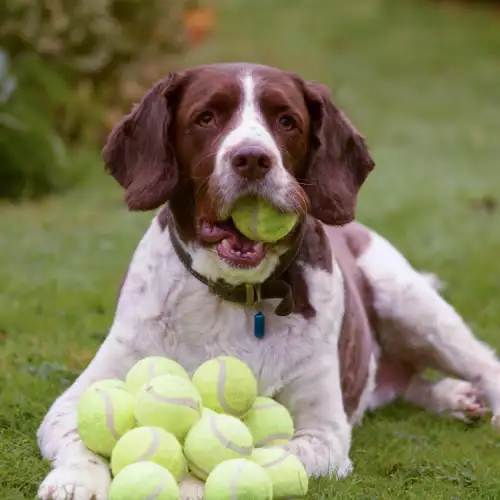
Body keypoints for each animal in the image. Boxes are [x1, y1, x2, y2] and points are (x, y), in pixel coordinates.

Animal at [37, 63, 500, 500]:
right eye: (206, 117)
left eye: (287, 121)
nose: (253, 158)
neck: (232, 294)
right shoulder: (74, 399)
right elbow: (82, 438)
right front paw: (74, 482)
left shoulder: (322, 433)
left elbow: (258, 457)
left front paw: (189, 486)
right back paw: (454, 398)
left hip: (409, 302)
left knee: (481, 362)